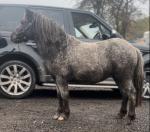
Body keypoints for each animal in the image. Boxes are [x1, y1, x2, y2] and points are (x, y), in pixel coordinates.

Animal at [11, 9, 144, 122]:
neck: (60, 48)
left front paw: (64, 115)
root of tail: (133, 48)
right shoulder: (56, 79)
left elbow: (64, 95)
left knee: (131, 93)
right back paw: (121, 114)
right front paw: (57, 114)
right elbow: (59, 96)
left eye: (23, 22)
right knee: (125, 94)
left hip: (124, 77)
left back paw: (130, 117)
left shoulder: (61, 79)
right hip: (119, 78)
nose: (13, 36)